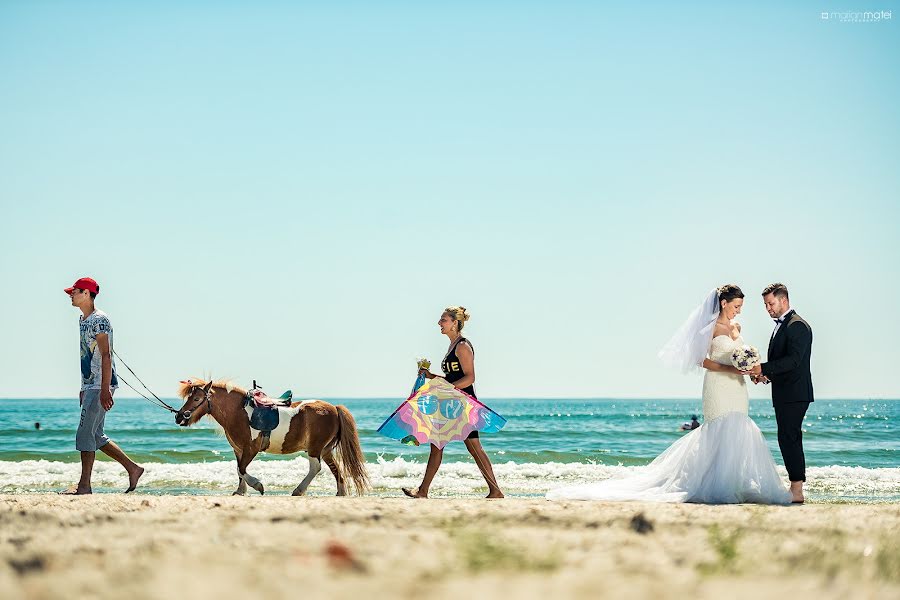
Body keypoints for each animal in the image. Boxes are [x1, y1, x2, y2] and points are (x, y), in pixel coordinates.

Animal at [174, 380, 370, 496]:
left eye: (197, 399)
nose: (179, 417)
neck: (240, 413)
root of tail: (334, 408)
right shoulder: (238, 450)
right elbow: (238, 470)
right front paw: (240, 491)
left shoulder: (250, 449)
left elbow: (242, 469)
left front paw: (257, 485)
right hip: (325, 450)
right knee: (336, 469)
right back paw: (340, 493)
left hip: (315, 448)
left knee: (316, 467)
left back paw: (299, 490)